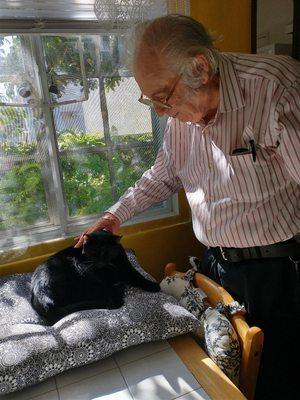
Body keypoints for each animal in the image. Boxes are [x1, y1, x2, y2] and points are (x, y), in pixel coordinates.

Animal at [30, 231, 161, 324]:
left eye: (107, 252)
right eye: (94, 252)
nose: (100, 262)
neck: (113, 265)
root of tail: (45, 300)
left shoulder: (127, 268)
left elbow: (139, 277)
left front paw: (154, 286)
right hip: (82, 272)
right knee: (111, 299)